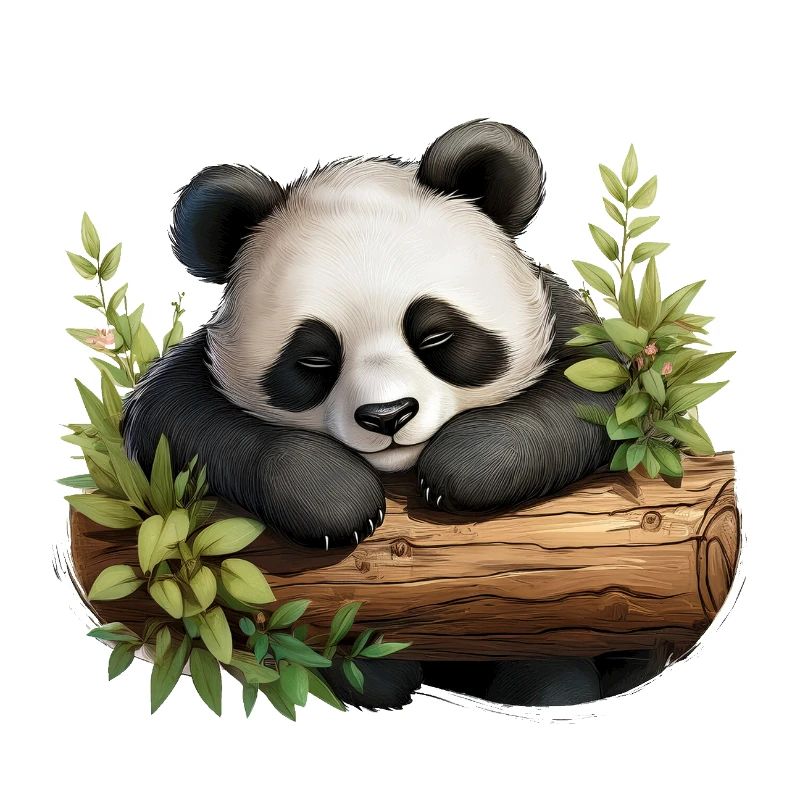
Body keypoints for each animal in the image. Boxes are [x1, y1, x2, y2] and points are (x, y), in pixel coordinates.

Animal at [123, 120, 633, 709]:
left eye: (435, 335)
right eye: (314, 358)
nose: (388, 416)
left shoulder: (568, 330)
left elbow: (592, 401)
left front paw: (460, 469)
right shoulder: (191, 381)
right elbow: (177, 421)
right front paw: (335, 500)